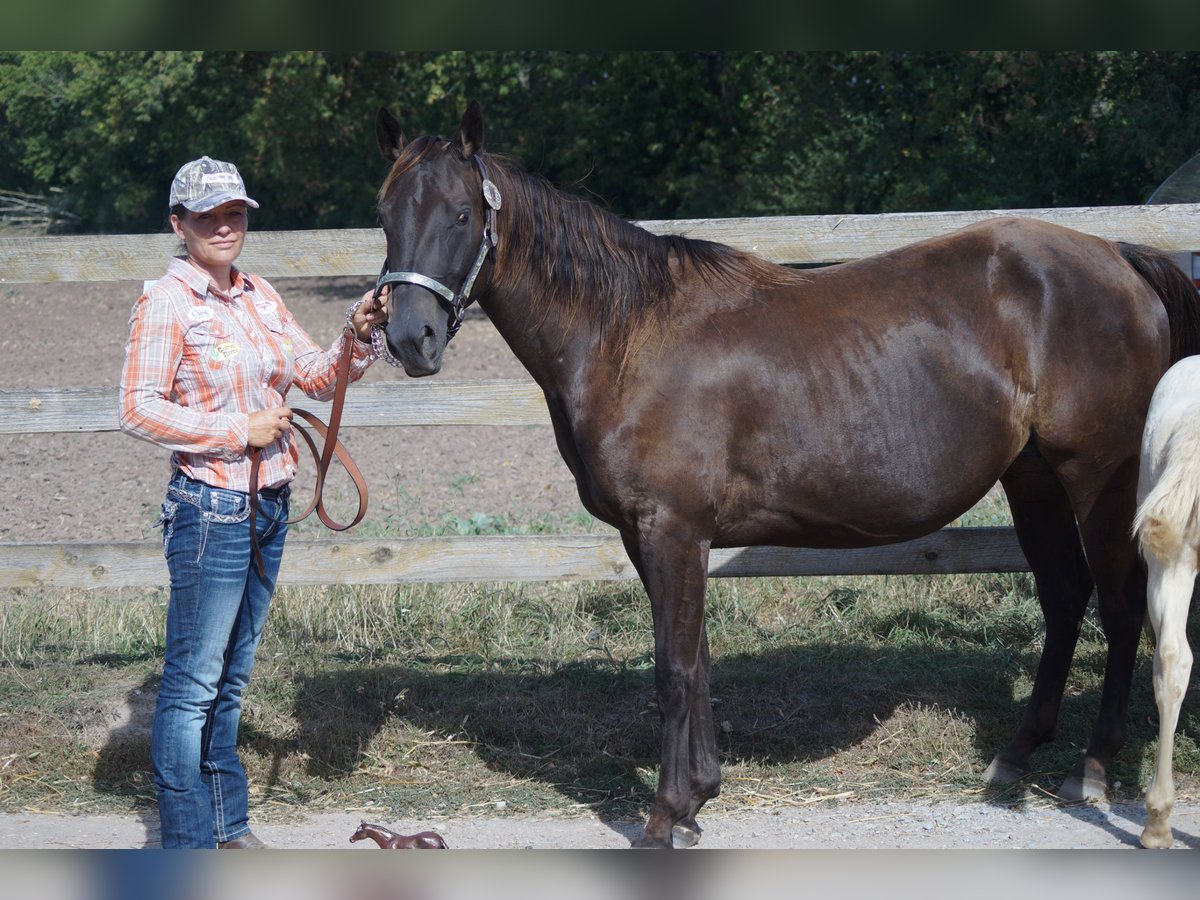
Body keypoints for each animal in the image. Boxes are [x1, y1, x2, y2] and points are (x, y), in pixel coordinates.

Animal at [372, 102, 1200, 849]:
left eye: (459, 214)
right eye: (384, 216)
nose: (411, 337)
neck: (626, 333)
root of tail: (1121, 257)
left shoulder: (671, 529)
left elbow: (673, 668)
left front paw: (665, 815)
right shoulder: (662, 538)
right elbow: (697, 661)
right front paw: (699, 796)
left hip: (1095, 478)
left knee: (1120, 608)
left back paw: (1091, 769)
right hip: (1032, 481)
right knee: (1064, 598)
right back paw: (1018, 755)